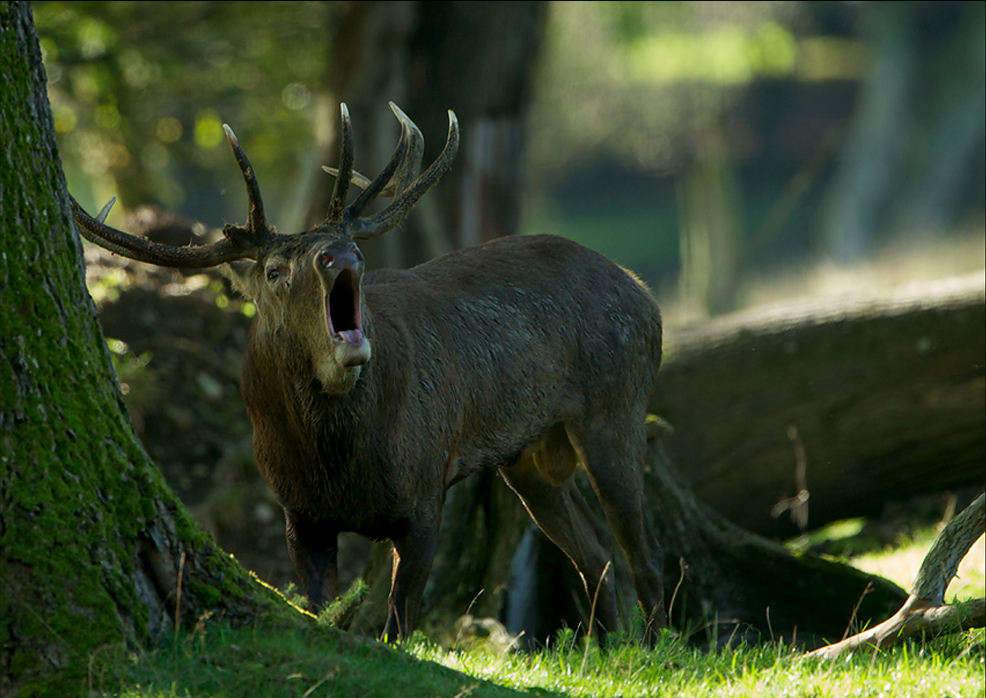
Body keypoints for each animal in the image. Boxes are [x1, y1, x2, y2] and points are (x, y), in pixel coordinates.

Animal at [71, 103, 668, 643]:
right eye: (274, 270)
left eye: (353, 244)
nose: (338, 255)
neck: (340, 461)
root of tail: (645, 295)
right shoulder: (300, 514)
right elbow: (326, 612)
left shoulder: (425, 495)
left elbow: (397, 628)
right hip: (528, 457)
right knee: (596, 551)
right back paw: (603, 650)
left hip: (616, 406)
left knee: (643, 552)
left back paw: (651, 651)